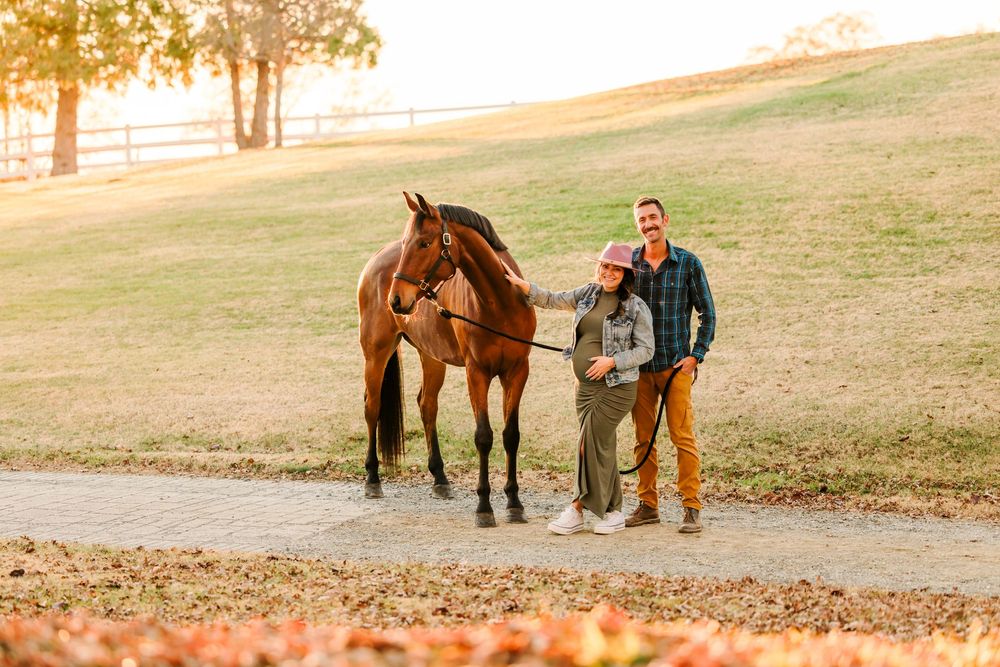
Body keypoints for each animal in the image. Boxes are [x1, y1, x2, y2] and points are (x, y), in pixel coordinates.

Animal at [356, 192, 537, 527]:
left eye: (424, 243)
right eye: (407, 242)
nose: (396, 299)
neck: (500, 302)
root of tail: (376, 258)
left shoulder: (517, 372)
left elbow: (511, 435)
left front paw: (514, 502)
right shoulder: (476, 373)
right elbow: (484, 436)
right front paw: (484, 507)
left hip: (431, 356)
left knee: (427, 406)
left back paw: (440, 478)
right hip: (376, 354)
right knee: (372, 408)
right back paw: (373, 478)